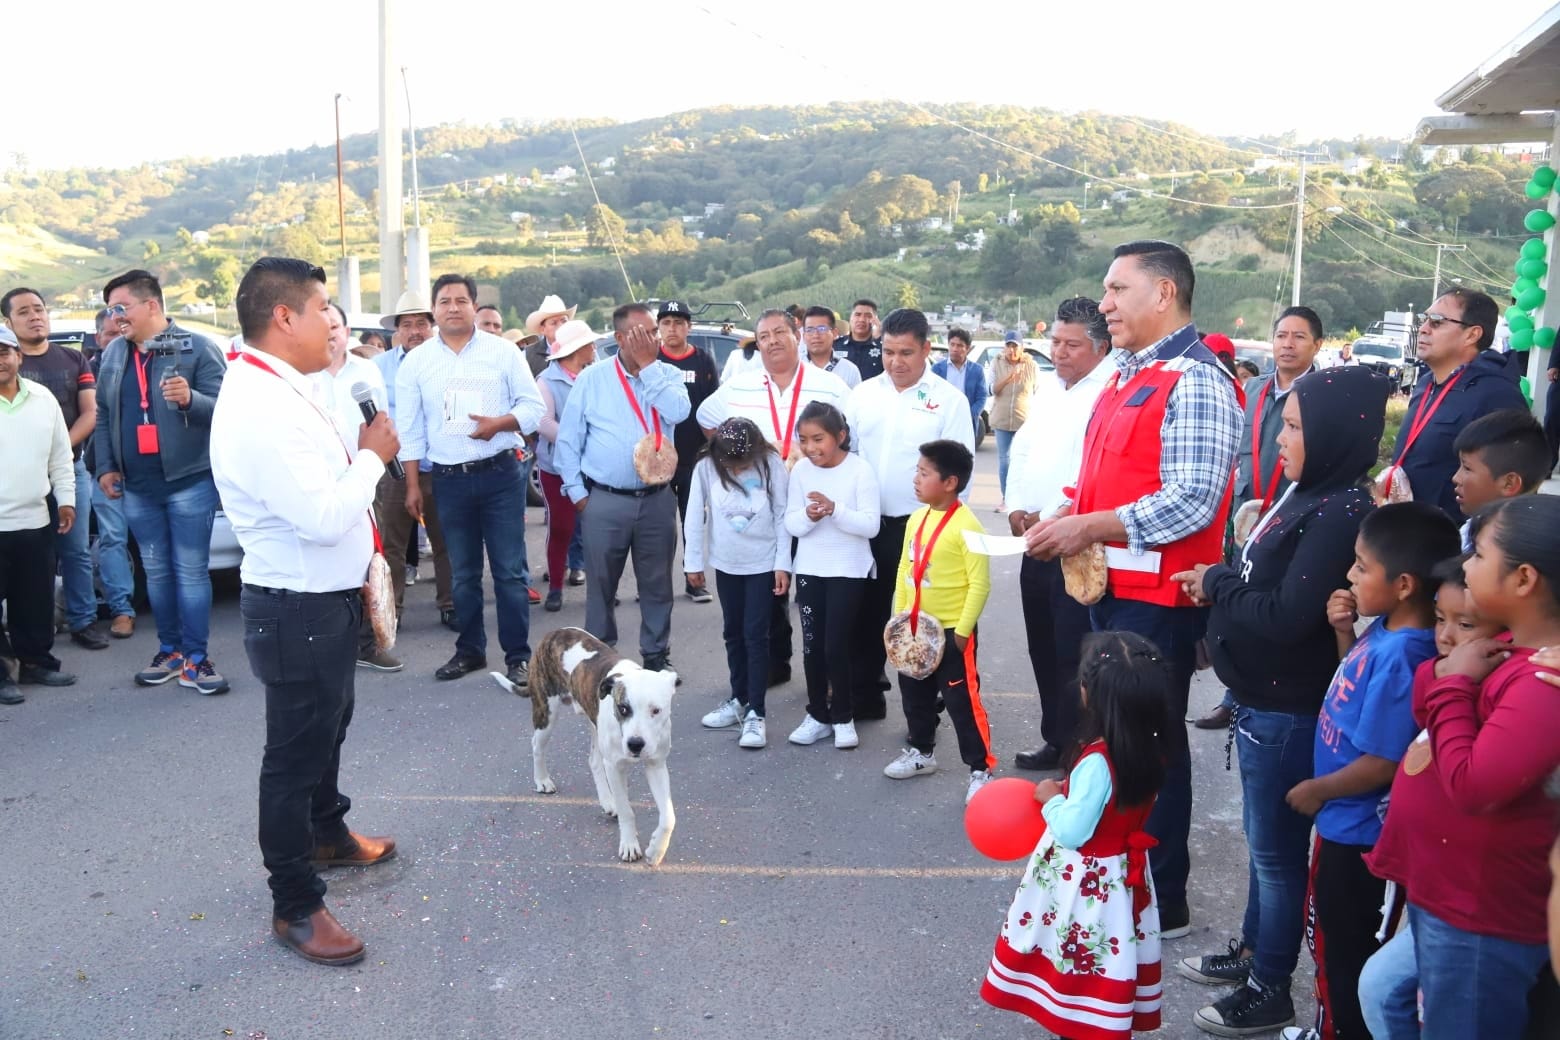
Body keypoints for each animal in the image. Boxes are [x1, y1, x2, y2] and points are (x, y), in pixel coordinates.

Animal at [492, 629, 677, 866]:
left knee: (594, 761)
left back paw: (608, 801)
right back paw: (542, 780)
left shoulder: (656, 764)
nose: (635, 743)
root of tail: (553, 633)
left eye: (656, 710)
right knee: (537, 746)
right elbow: (627, 811)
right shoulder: (615, 767)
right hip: (546, 711)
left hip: (593, 723)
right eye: (623, 708)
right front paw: (629, 845)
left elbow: (668, 817)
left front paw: (656, 851)